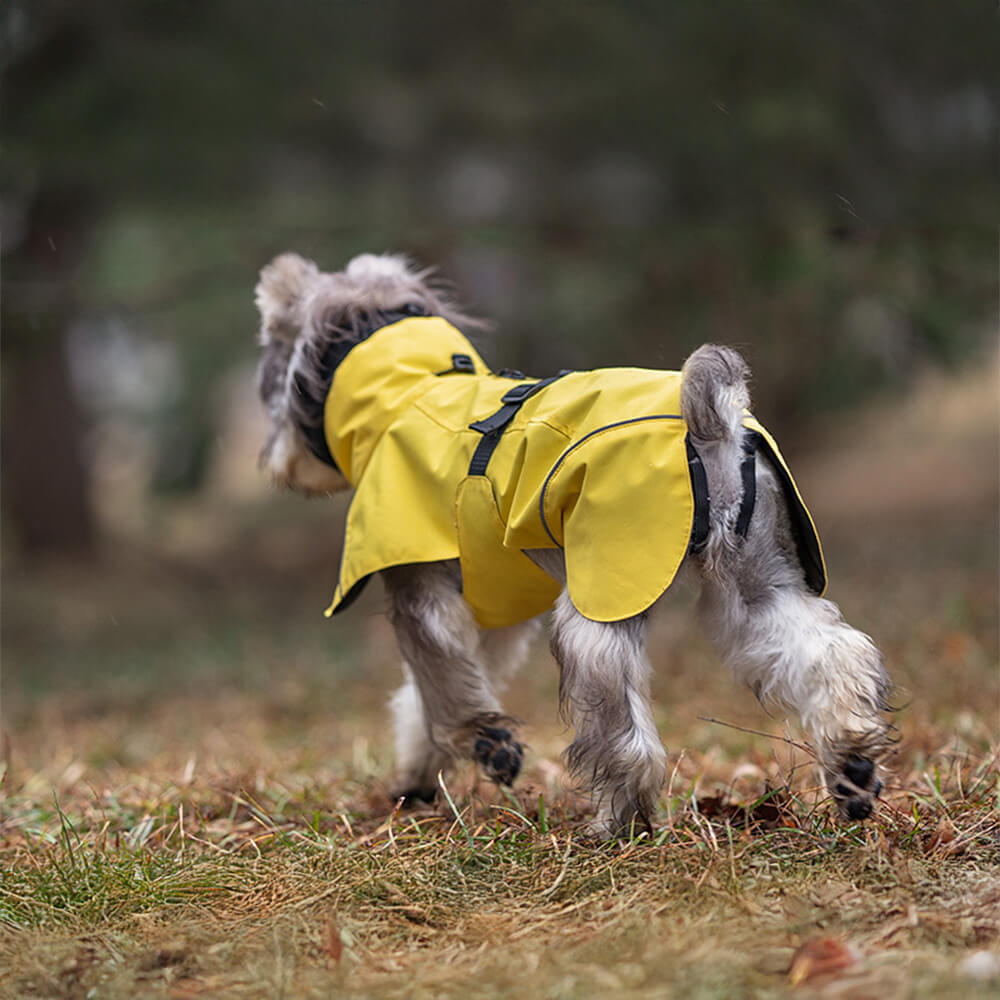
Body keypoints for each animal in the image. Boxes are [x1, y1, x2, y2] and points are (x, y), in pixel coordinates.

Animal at [254, 250, 896, 836]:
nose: (273, 460)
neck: (409, 391)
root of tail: (709, 420)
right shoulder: (494, 610)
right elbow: (429, 691)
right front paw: (419, 773)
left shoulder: (422, 592)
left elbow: (440, 688)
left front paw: (481, 744)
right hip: (755, 588)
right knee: (831, 653)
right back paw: (853, 766)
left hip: (602, 599)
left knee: (625, 732)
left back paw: (619, 821)